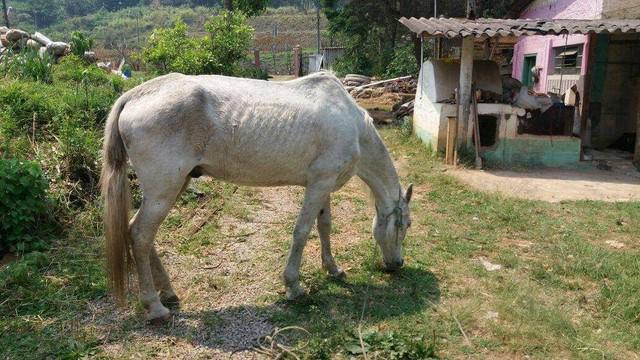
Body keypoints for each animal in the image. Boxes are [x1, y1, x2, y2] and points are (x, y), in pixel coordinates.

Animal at [102, 71, 412, 322]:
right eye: (405, 225)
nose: (397, 264)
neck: (352, 125)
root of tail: (133, 96)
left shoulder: (322, 184)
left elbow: (324, 226)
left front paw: (333, 269)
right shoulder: (318, 186)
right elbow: (302, 231)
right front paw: (293, 286)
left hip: (174, 186)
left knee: (140, 233)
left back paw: (167, 292)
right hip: (163, 190)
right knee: (140, 235)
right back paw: (155, 307)